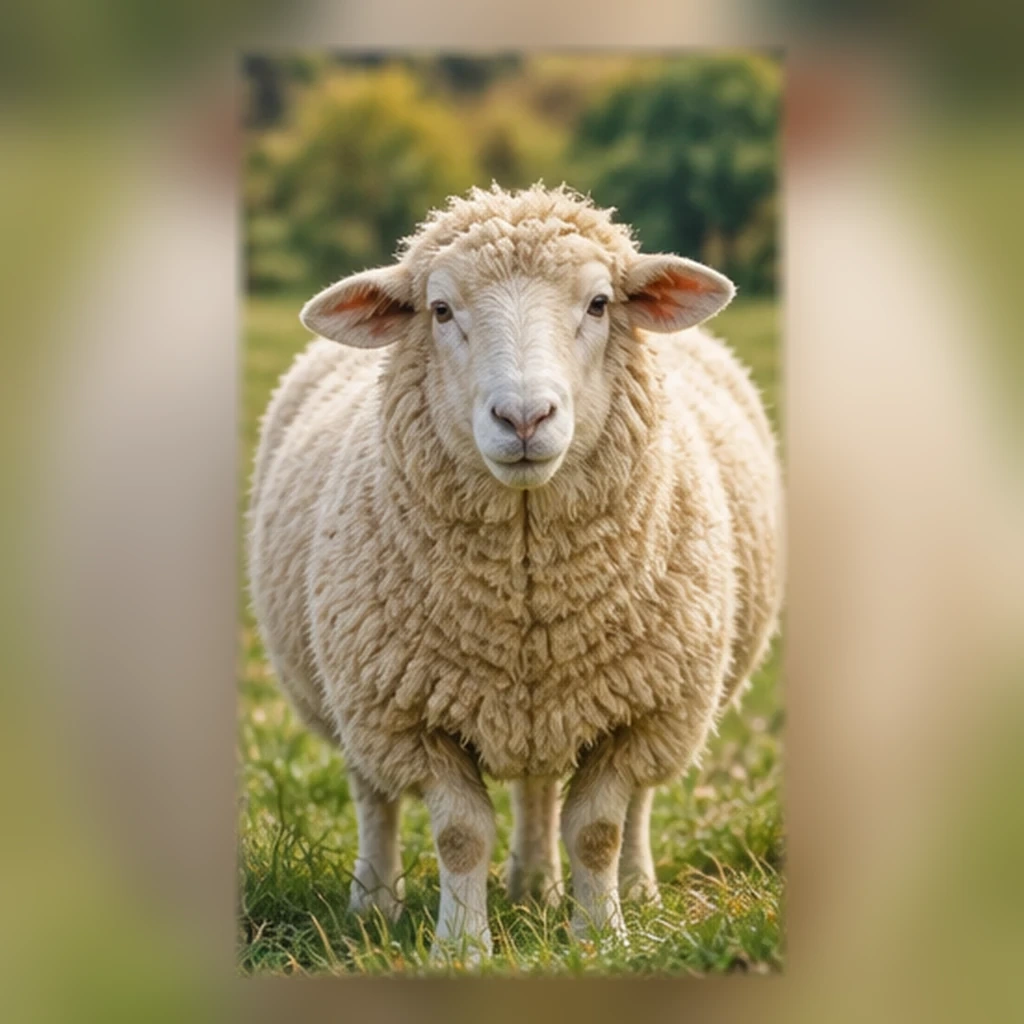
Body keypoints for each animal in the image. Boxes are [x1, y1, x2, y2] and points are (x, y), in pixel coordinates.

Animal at [247, 183, 782, 957]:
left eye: (599, 304)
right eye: (440, 310)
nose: (524, 417)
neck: (527, 612)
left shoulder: (641, 711)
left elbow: (597, 830)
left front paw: (601, 938)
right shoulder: (410, 715)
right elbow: (460, 835)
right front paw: (462, 949)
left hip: (647, 704)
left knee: (592, 797)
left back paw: (598, 890)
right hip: (351, 696)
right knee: (374, 794)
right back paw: (375, 904)